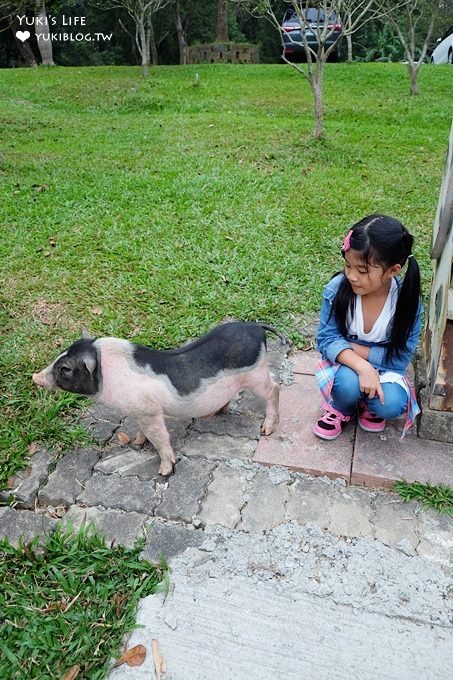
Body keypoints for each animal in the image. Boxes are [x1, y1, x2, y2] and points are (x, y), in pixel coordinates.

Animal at [32, 324, 286, 478]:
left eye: (65, 369)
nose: (34, 377)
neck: (109, 376)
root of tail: (255, 326)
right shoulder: (139, 411)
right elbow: (143, 432)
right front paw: (136, 442)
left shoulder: (150, 411)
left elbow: (160, 437)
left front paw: (163, 471)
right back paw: (213, 414)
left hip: (256, 374)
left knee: (275, 387)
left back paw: (266, 430)